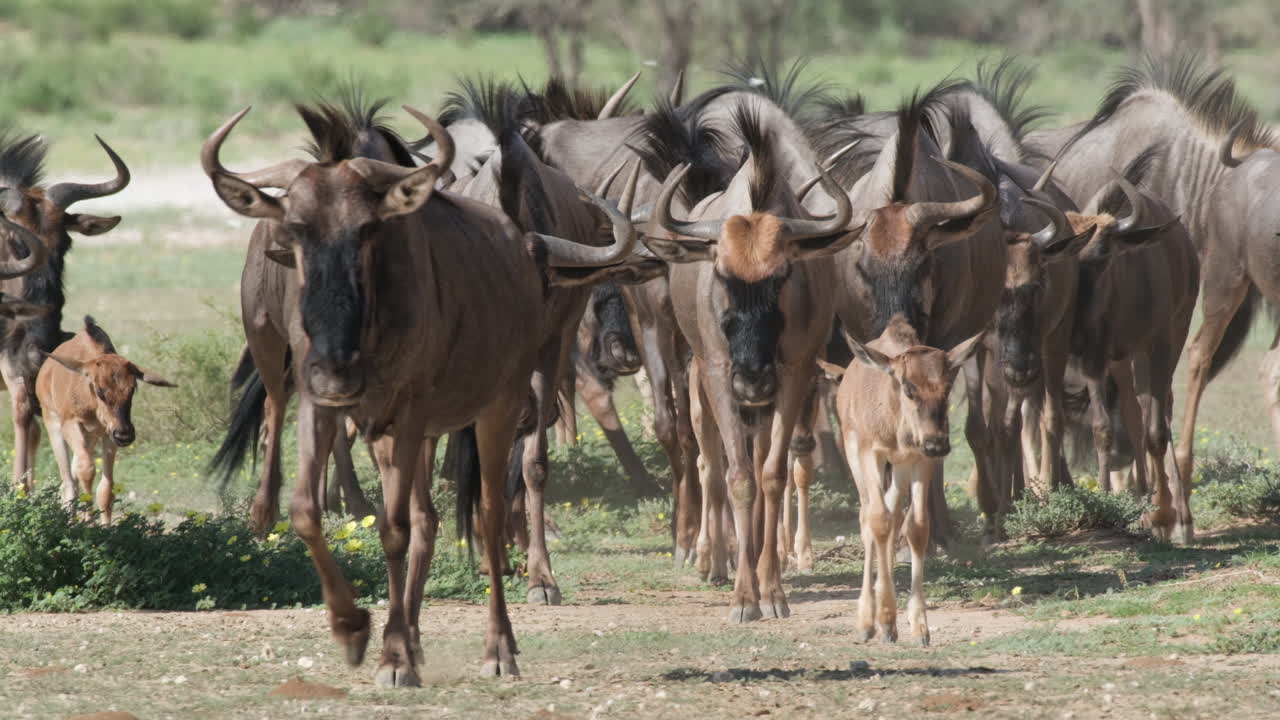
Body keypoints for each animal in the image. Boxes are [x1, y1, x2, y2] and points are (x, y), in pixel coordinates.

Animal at [36, 316, 176, 523]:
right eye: (100, 391)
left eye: (132, 389)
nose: (125, 435)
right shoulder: (71, 425)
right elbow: (86, 470)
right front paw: (89, 522)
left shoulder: (107, 434)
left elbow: (106, 489)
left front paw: (105, 526)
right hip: (53, 424)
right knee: (69, 482)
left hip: (91, 437)